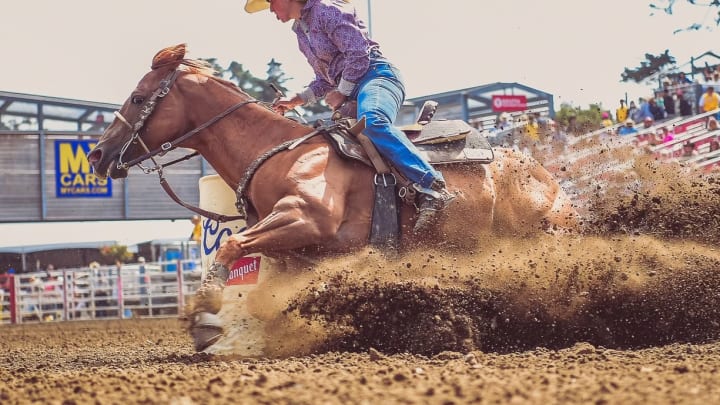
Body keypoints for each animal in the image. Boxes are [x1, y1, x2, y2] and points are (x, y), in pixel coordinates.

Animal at [87, 44, 579, 351]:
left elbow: (230, 244)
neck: (281, 152)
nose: (96, 155)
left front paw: (207, 313)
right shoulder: (297, 252)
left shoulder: (304, 217)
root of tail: (548, 178)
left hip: (540, 243)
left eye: (138, 98)